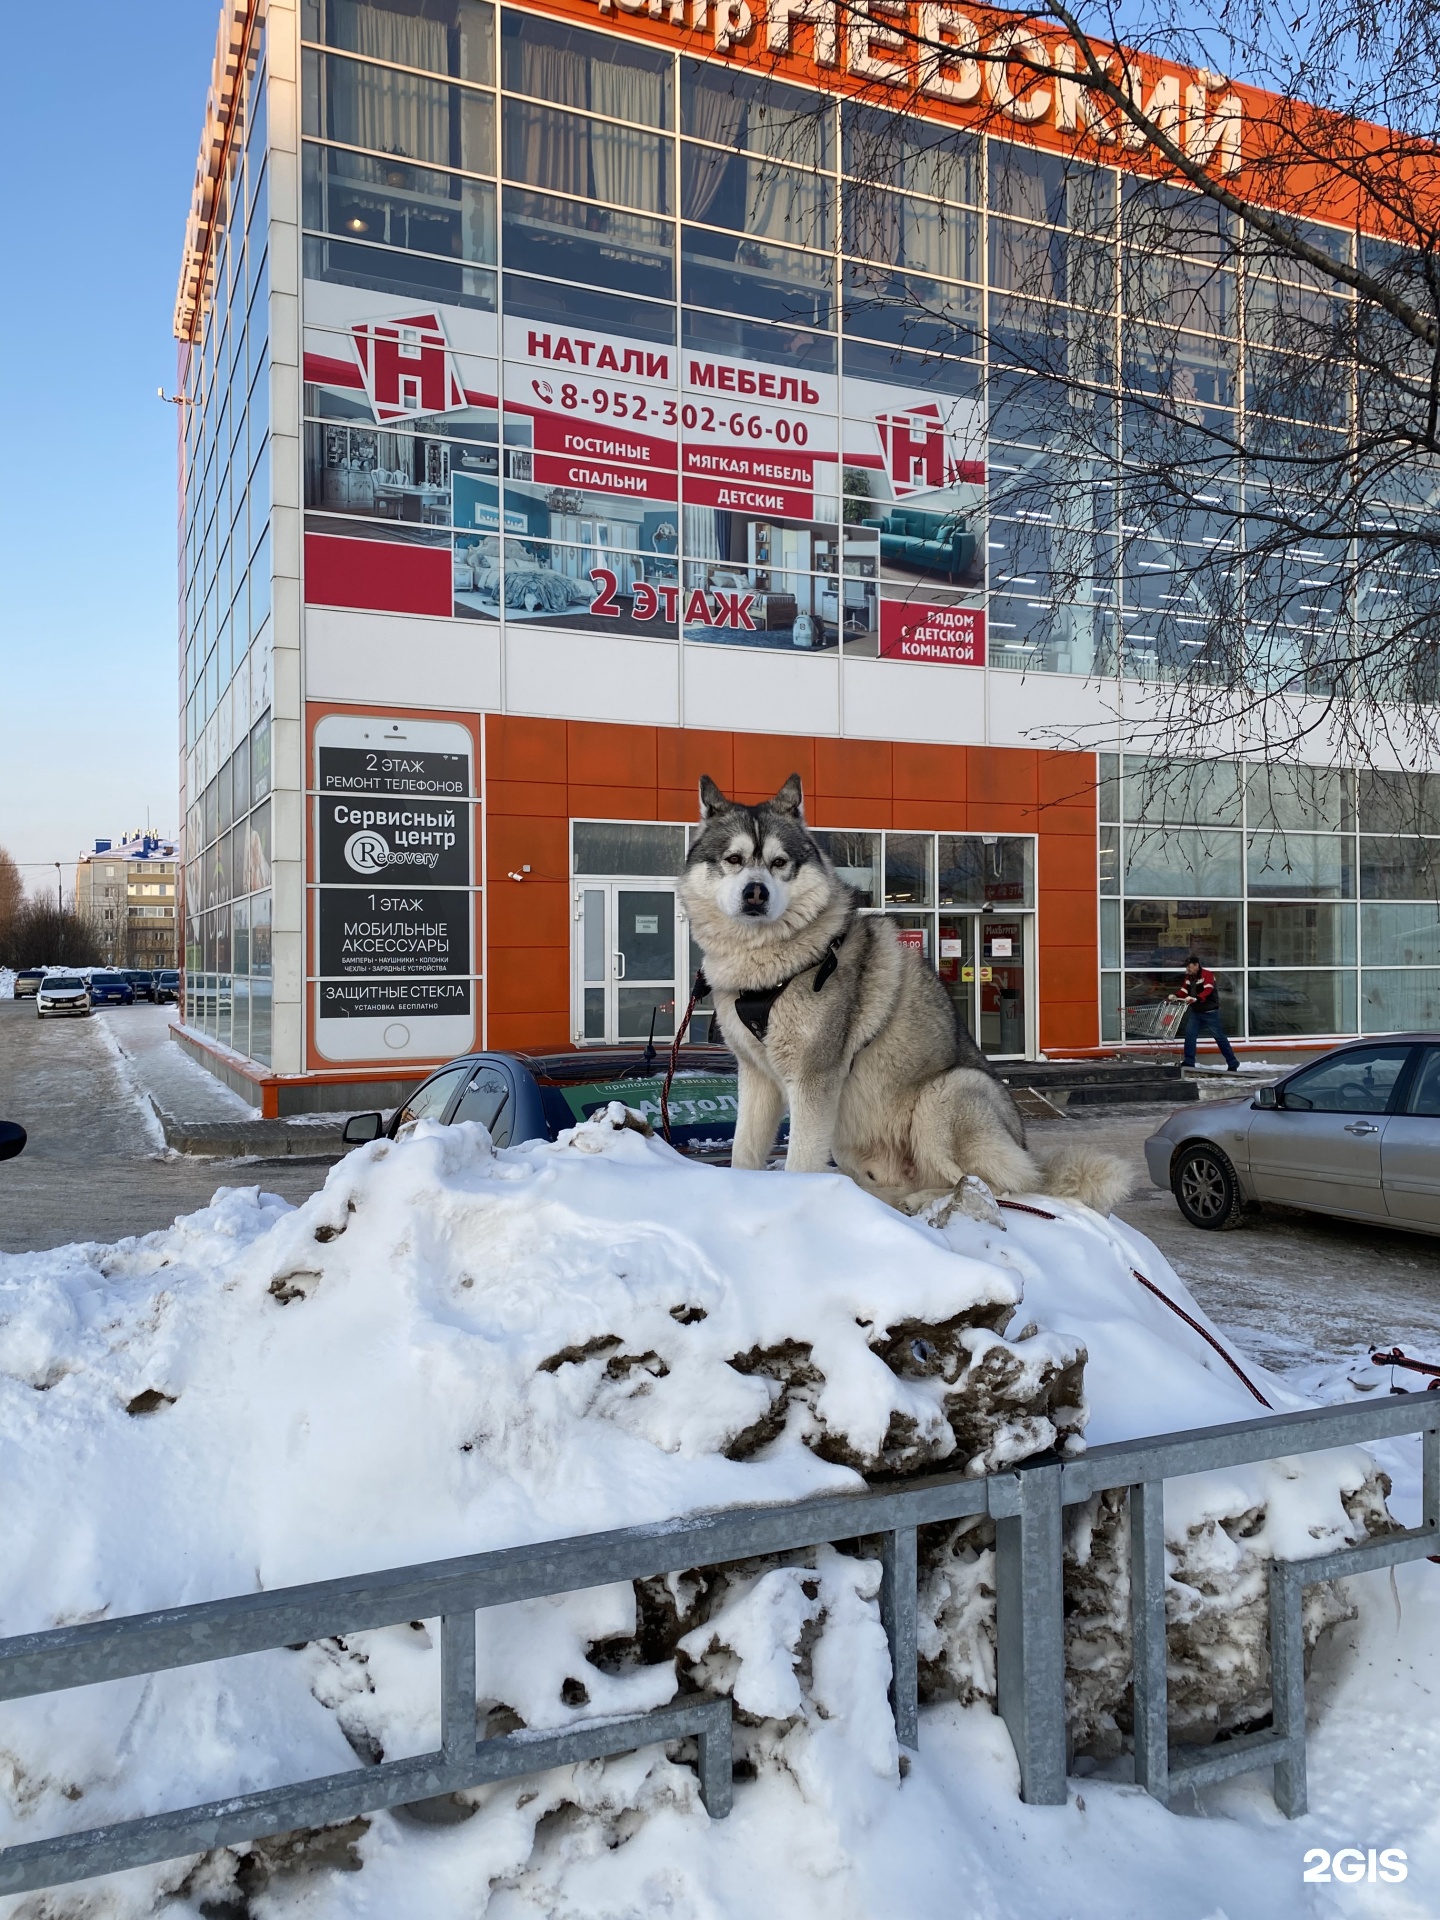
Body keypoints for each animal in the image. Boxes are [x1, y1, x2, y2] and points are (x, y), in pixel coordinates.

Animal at [683, 768, 1136, 1205]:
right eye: (734, 859)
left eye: (780, 863)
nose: (755, 893)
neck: (770, 966)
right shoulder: (755, 1075)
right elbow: (743, 1151)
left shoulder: (815, 1079)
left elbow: (801, 1163)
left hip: (946, 1095)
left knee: (1000, 1188)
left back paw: (929, 1202)